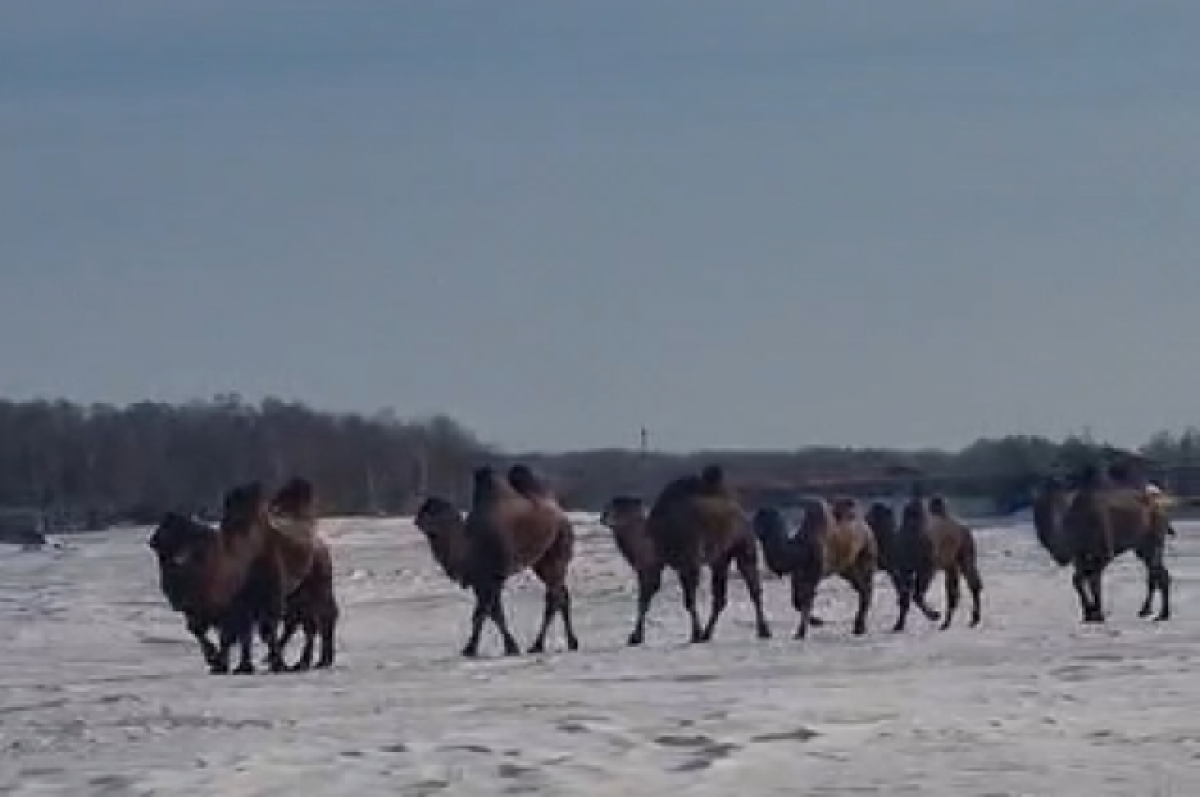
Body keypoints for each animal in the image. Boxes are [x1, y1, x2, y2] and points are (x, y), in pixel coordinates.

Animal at [415, 463, 578, 657]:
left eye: (434, 511)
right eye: (422, 509)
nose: (417, 521)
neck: (470, 546)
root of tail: (560, 513)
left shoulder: (495, 575)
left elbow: (483, 612)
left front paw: (471, 649)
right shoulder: (480, 579)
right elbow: (493, 613)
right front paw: (509, 647)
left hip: (558, 549)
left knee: (555, 597)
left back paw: (539, 645)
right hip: (542, 561)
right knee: (562, 594)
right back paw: (568, 643)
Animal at [597, 468, 768, 648]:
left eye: (624, 508)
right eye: (608, 505)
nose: (604, 517)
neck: (658, 536)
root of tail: (737, 507)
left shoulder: (689, 562)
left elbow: (689, 601)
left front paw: (695, 634)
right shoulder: (657, 566)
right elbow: (644, 600)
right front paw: (635, 637)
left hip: (744, 545)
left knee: (753, 588)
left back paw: (763, 631)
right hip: (720, 558)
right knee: (720, 597)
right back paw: (708, 634)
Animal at [753, 499, 878, 643]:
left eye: (759, 519)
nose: (750, 526)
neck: (801, 549)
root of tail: (866, 527)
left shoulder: (815, 573)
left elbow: (807, 601)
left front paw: (800, 634)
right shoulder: (798, 575)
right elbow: (796, 601)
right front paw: (818, 621)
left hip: (866, 554)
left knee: (867, 587)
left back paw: (860, 627)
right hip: (846, 569)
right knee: (861, 588)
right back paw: (859, 627)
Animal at [892, 494, 984, 633]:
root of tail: (964, 528)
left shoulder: (927, 568)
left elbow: (916, 595)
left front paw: (935, 615)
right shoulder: (905, 569)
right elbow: (905, 596)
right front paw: (898, 625)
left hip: (965, 554)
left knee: (972, 584)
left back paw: (973, 619)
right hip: (950, 565)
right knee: (953, 592)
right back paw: (947, 624)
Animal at [1032, 468, 1171, 624]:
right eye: (1038, 508)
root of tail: (1160, 503)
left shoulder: (1104, 552)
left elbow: (1091, 580)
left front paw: (1097, 614)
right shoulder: (1079, 555)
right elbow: (1080, 580)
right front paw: (1089, 613)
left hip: (1153, 541)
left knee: (1156, 573)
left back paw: (1160, 613)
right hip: (1143, 547)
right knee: (1158, 572)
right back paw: (1151, 611)